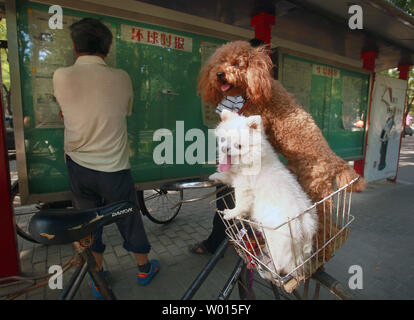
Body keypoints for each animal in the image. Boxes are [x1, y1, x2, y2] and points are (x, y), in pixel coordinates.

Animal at [209, 110, 318, 280]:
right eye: (223, 140)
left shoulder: (244, 189)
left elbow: (240, 205)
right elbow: (228, 175)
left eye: (238, 146)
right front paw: (217, 176)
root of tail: (304, 225)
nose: (226, 149)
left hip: (277, 243)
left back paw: (270, 269)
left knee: (282, 264)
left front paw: (230, 213)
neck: (250, 160)